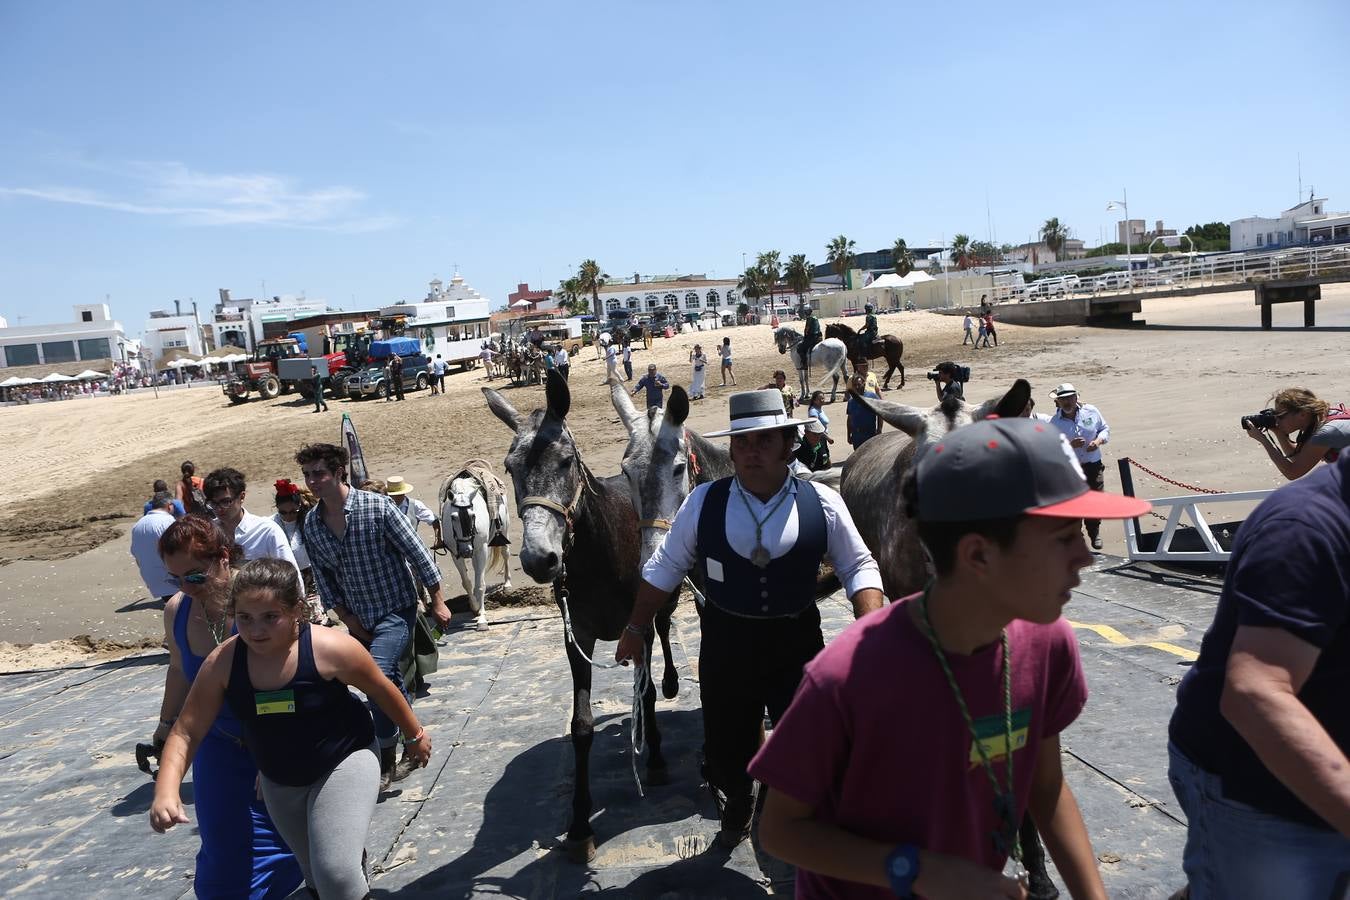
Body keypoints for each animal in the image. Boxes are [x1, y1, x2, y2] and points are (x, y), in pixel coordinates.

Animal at [442, 469, 510, 631]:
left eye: (473, 515)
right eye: (453, 517)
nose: (466, 551)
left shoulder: (480, 550)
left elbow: (480, 585)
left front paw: (482, 619)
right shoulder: (455, 553)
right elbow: (466, 582)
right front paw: (474, 607)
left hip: (504, 530)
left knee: (505, 554)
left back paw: (507, 584)